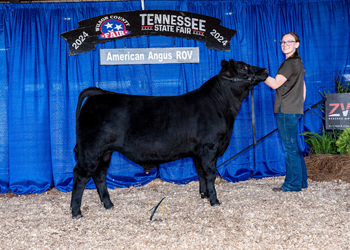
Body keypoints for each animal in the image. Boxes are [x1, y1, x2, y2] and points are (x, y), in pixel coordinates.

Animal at [71, 59, 268, 218]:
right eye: (243, 67)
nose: (265, 70)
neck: (222, 105)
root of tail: (100, 94)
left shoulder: (198, 152)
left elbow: (201, 173)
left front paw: (203, 195)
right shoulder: (209, 148)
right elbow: (210, 174)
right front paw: (214, 200)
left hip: (106, 152)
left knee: (99, 174)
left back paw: (108, 204)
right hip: (92, 148)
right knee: (81, 175)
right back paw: (76, 212)